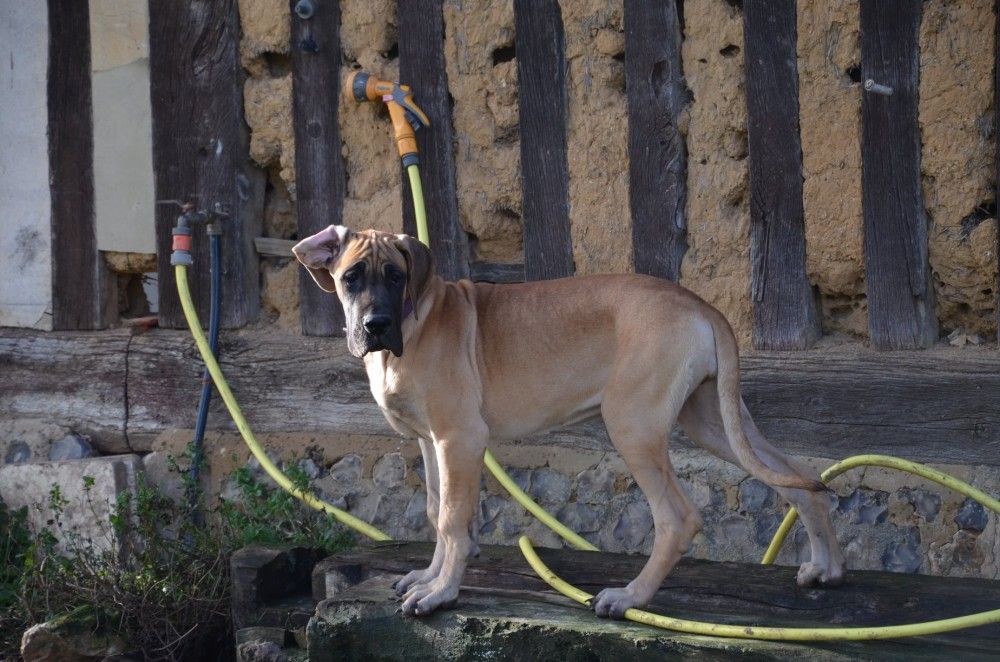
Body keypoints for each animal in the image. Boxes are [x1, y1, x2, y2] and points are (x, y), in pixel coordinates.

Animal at [293, 225, 845, 618]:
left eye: (395, 275)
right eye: (350, 277)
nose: (375, 326)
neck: (416, 321)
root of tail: (701, 305)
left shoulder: (460, 440)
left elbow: (451, 519)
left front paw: (441, 593)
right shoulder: (433, 443)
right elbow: (437, 512)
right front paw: (430, 578)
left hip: (632, 423)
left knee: (678, 518)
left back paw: (630, 597)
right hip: (712, 420)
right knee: (799, 480)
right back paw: (826, 567)